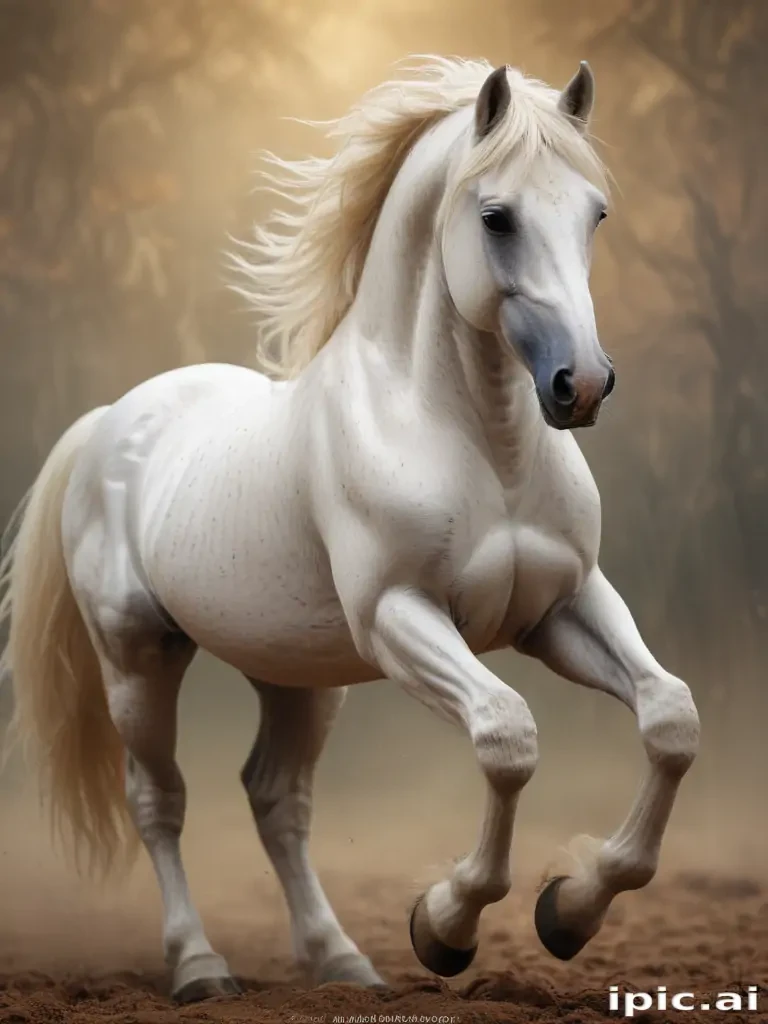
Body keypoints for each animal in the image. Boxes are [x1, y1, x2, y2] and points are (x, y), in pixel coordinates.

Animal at [0, 56, 700, 1003]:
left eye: (594, 213)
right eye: (497, 216)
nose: (581, 385)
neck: (474, 441)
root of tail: (110, 421)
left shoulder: (565, 608)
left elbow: (670, 718)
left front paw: (568, 910)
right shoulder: (399, 617)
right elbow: (506, 737)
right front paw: (443, 926)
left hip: (296, 675)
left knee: (277, 800)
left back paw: (340, 961)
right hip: (138, 657)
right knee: (160, 801)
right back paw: (200, 968)